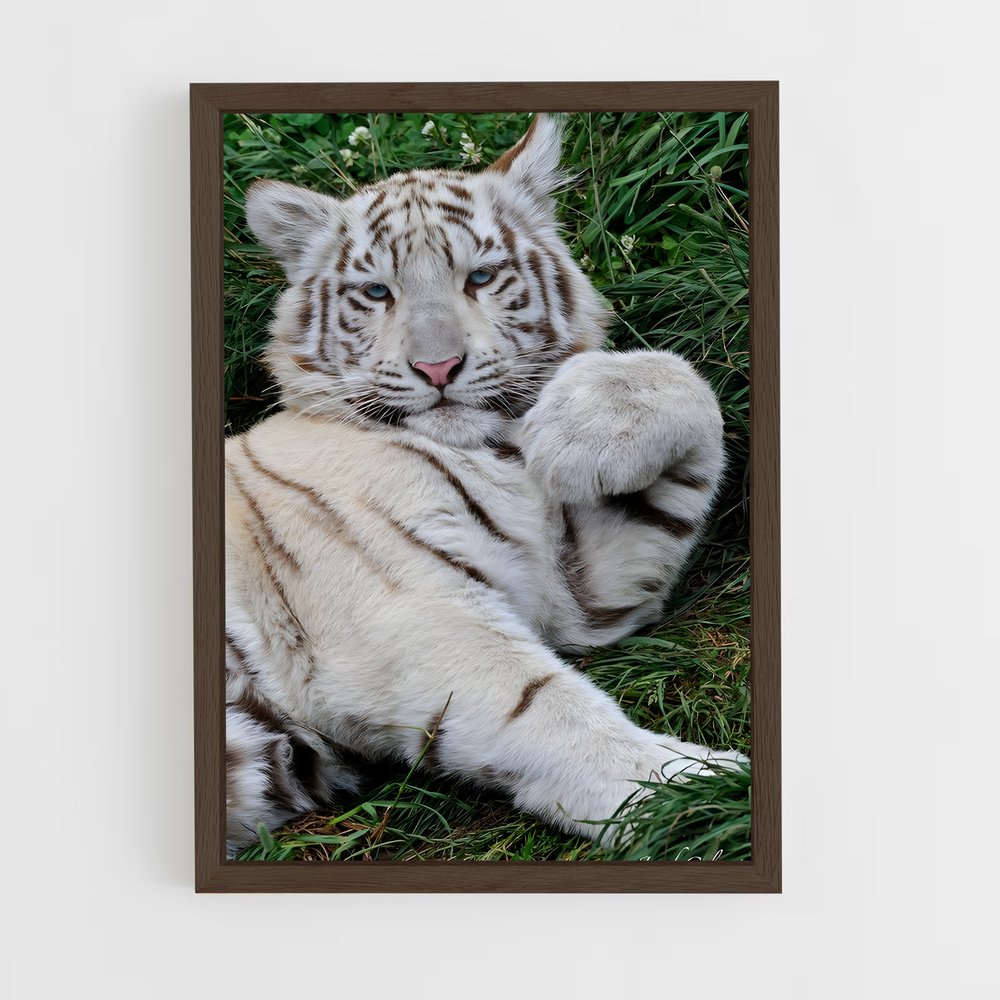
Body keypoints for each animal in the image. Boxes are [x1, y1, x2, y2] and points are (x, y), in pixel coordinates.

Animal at [225, 113, 748, 855]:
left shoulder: (577, 596)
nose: (438, 367)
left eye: (480, 276)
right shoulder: (407, 612)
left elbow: (686, 380)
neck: (489, 448)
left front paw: (572, 431)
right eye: (377, 292)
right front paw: (699, 794)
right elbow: (546, 709)